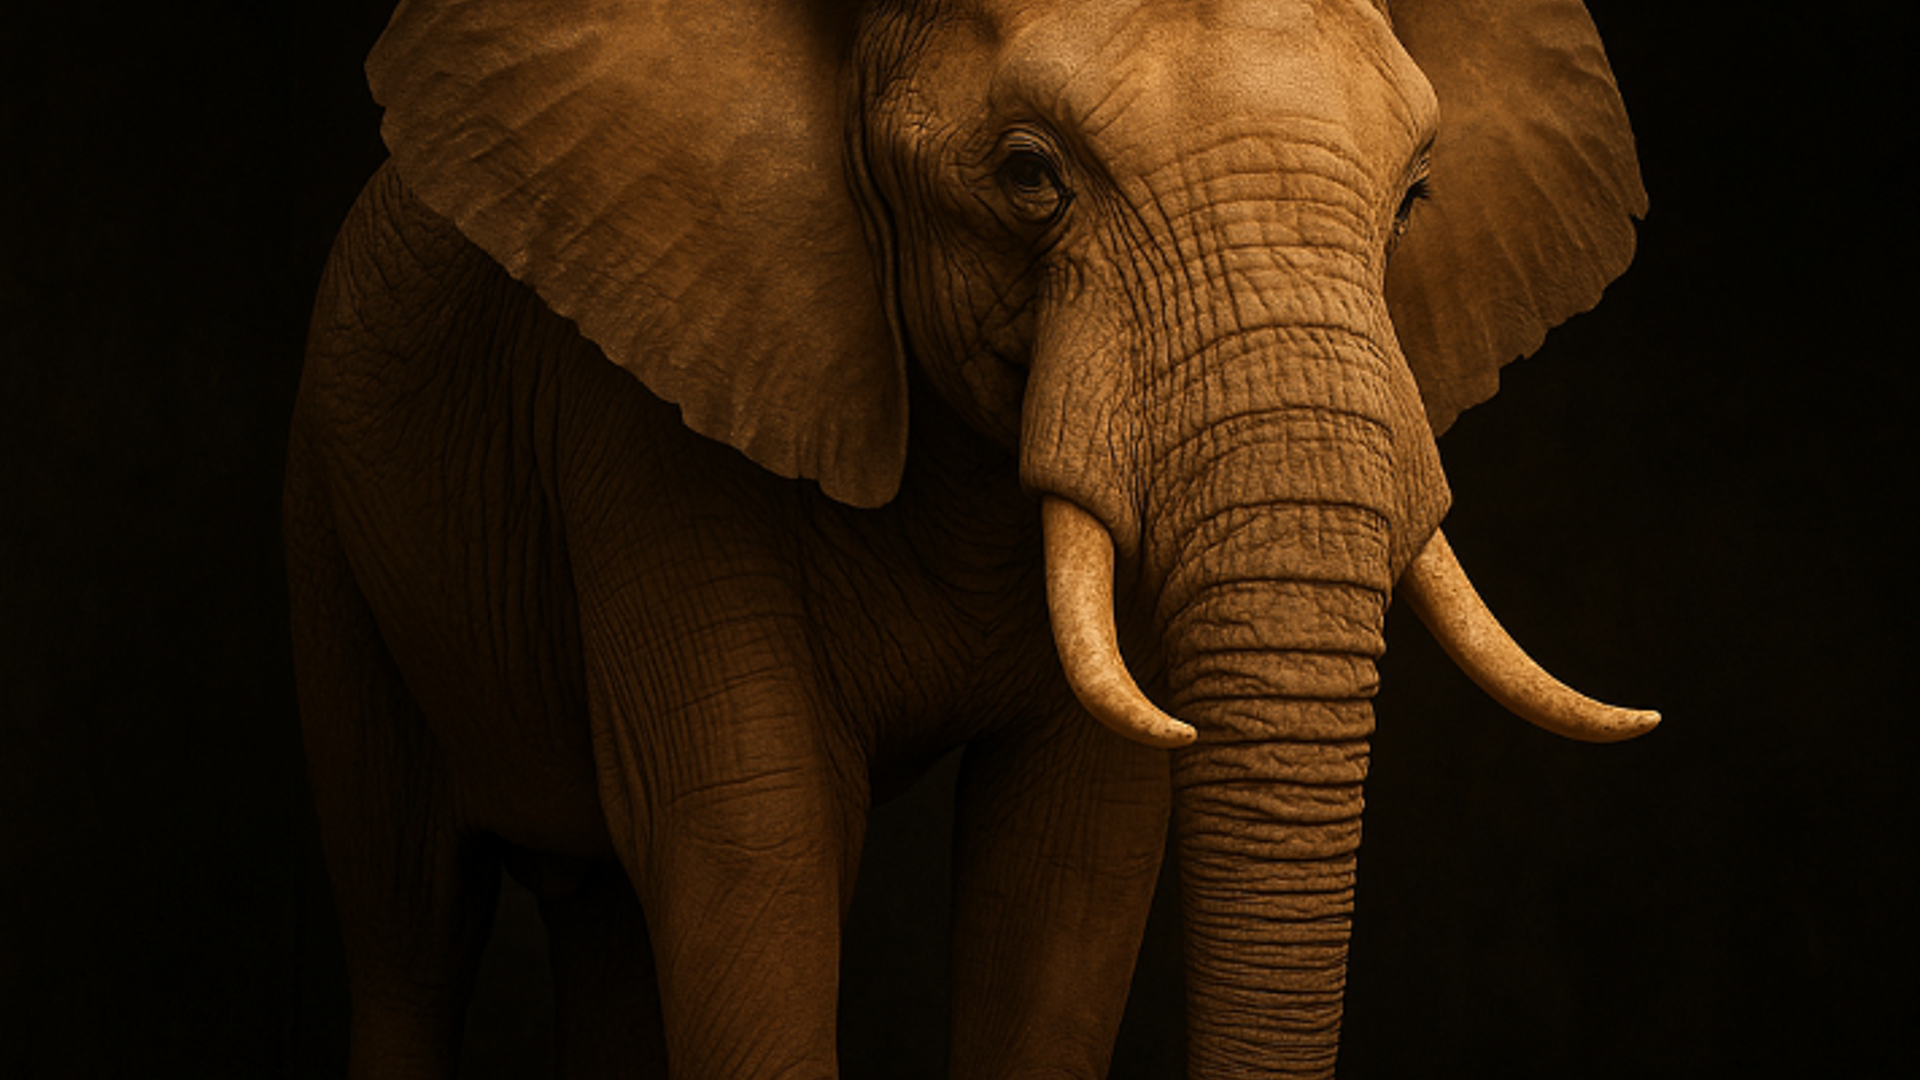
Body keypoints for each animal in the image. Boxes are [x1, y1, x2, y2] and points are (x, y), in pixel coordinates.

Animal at [283, 0, 1659, 1076]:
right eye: (1028, 174)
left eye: (1416, 197)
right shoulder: (639, 405)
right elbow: (751, 830)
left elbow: (1071, 857)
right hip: (331, 527)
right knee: (409, 919)